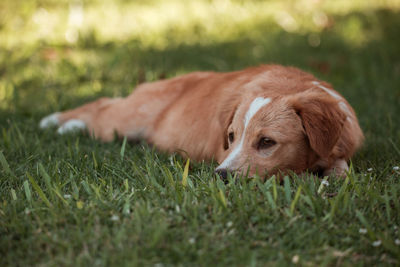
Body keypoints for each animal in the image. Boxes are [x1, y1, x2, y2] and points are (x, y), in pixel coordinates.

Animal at [39, 64, 364, 178]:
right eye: (230, 137)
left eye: (267, 142)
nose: (221, 175)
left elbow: (341, 168)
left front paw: (333, 176)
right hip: (121, 123)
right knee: (102, 105)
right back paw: (59, 122)